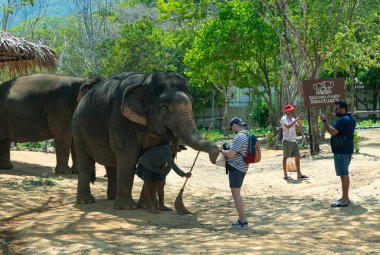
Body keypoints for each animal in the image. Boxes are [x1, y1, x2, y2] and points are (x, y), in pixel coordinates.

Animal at [72, 70, 220, 209]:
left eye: (191, 102)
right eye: (164, 106)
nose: (214, 156)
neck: (144, 80)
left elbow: (156, 158)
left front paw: (145, 206)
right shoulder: (120, 119)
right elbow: (128, 155)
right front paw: (127, 207)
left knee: (112, 163)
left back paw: (112, 198)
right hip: (78, 130)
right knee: (85, 160)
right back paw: (86, 201)